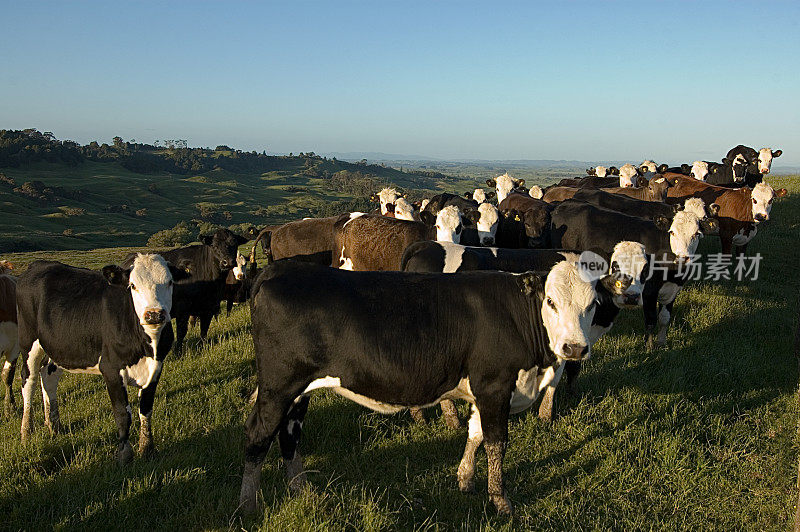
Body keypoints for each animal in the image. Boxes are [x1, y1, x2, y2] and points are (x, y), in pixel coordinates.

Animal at [15, 256, 188, 462]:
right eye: (133, 285)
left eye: (169, 282)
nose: (154, 314)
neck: (148, 345)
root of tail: (38, 264)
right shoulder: (111, 369)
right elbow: (122, 413)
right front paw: (124, 455)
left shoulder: (156, 367)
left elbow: (146, 409)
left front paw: (147, 449)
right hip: (28, 343)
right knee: (29, 381)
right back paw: (26, 433)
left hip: (55, 347)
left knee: (48, 378)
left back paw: (54, 426)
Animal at [242, 260, 600, 512]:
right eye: (551, 301)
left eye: (592, 305)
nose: (574, 348)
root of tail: (277, 269)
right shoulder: (494, 386)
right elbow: (496, 444)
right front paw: (501, 502)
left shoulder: (482, 392)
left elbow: (475, 434)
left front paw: (465, 481)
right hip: (278, 386)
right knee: (259, 435)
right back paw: (248, 507)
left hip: (298, 391)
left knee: (289, 435)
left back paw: (301, 491)